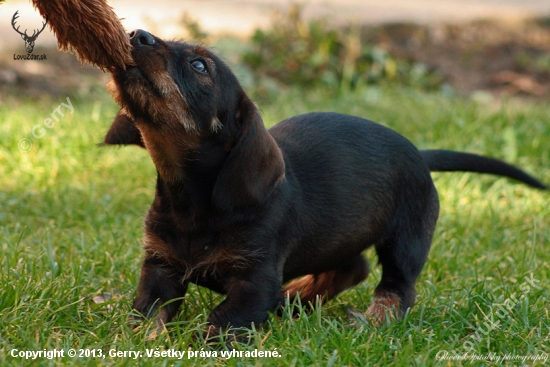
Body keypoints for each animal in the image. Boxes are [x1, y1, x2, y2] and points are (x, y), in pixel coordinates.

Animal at [104, 28, 548, 334]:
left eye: (200, 66)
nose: (136, 34)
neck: (191, 203)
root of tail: (420, 154)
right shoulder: (160, 267)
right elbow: (147, 316)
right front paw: (137, 342)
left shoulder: (255, 279)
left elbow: (224, 319)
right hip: (339, 235)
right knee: (354, 266)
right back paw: (297, 297)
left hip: (406, 238)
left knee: (397, 287)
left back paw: (372, 320)